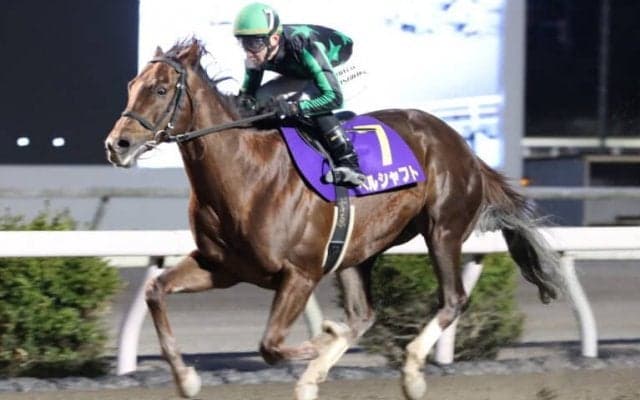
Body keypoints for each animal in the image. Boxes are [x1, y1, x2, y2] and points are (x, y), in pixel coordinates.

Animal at [104, 38, 560, 400]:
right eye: (130, 86)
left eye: (160, 88)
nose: (117, 144)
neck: (248, 176)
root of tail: (461, 145)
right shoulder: (222, 267)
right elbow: (156, 291)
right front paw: (187, 379)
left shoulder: (300, 273)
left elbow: (271, 345)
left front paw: (325, 337)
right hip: (360, 251)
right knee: (364, 314)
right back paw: (314, 378)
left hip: (442, 230)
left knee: (452, 300)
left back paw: (411, 373)